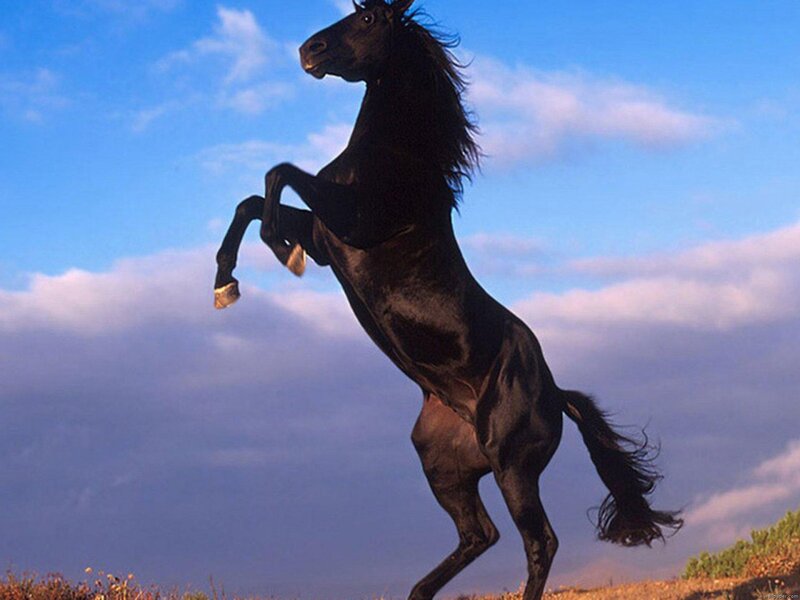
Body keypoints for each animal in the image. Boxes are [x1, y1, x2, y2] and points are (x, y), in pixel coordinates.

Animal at [212, 1, 682, 598]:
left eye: (369, 20)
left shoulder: (351, 223)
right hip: (443, 464)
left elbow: (278, 175)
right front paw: (225, 285)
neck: (396, 157)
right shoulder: (325, 239)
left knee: (539, 541)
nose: (307, 52)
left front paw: (278, 250)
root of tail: (557, 395)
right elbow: (251, 201)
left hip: (510, 465)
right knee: (480, 534)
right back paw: (418, 592)